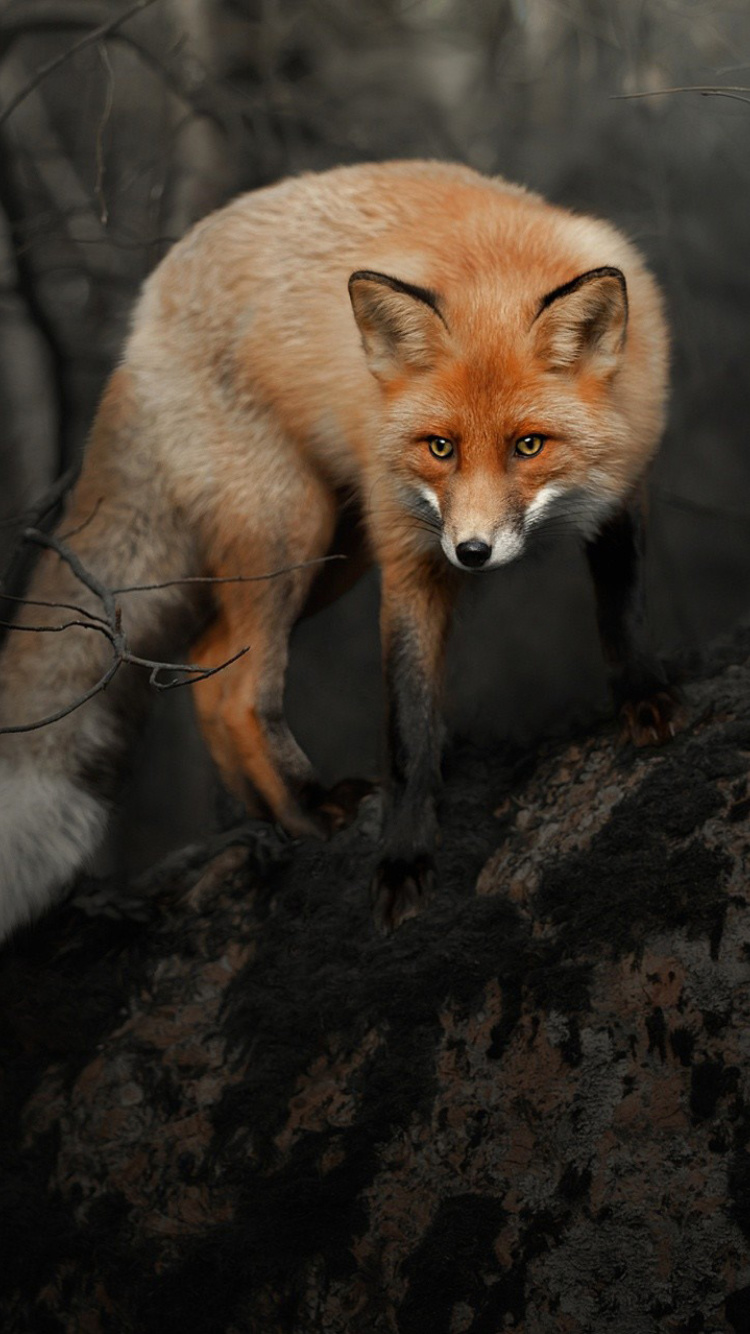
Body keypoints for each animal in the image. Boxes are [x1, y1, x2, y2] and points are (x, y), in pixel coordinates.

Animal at [0, 161, 675, 939]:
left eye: (528, 445)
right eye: (440, 447)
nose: (472, 552)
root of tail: (146, 318)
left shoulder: (622, 486)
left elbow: (622, 610)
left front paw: (643, 699)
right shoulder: (412, 555)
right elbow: (408, 724)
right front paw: (404, 859)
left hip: (334, 555)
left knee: (208, 666)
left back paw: (273, 820)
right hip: (291, 529)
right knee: (241, 691)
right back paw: (309, 810)